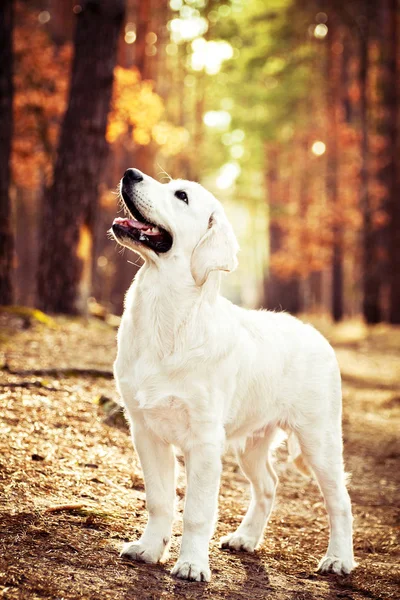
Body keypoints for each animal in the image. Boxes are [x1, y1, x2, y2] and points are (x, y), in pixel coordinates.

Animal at [111, 168, 354, 580]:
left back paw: (339, 559)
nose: (130, 173)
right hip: (252, 442)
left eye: (181, 196)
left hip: (318, 439)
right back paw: (246, 538)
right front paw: (149, 549)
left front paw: (192, 565)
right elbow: (159, 500)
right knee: (268, 485)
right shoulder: (145, 431)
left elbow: (196, 511)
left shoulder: (205, 441)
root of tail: (315, 334)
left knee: (340, 500)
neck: (166, 318)